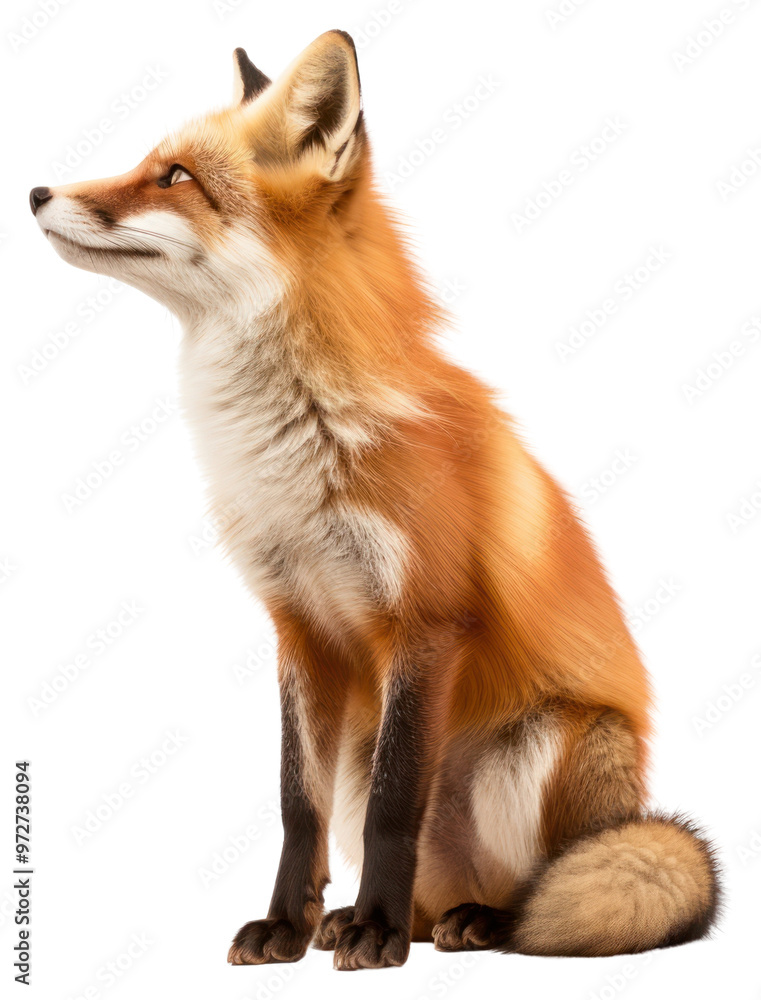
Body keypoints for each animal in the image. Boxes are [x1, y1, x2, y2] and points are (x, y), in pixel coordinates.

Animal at [30, 31, 719, 970]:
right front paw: (287, 925)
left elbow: (396, 807)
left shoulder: (424, 621)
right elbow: (297, 808)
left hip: (537, 747)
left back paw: (467, 923)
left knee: (536, 892)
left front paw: (374, 932)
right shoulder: (300, 628)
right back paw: (389, 921)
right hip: (369, 745)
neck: (297, 448)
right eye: (149, 163)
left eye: (173, 176)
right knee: (428, 878)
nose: (35, 192)